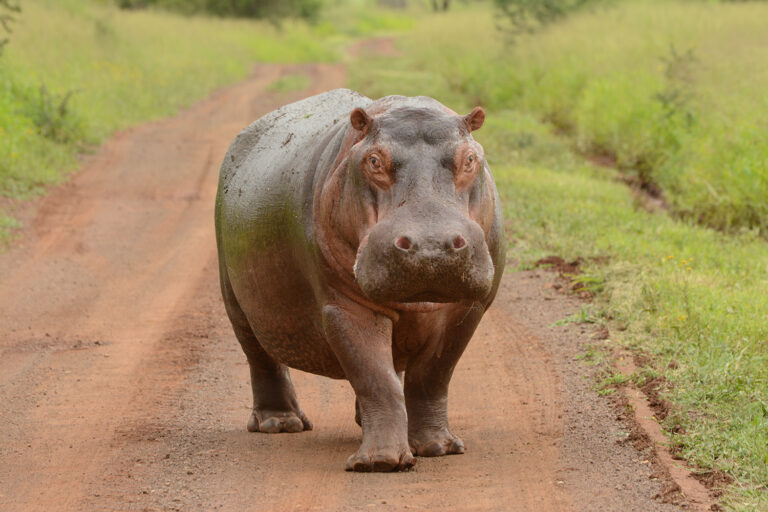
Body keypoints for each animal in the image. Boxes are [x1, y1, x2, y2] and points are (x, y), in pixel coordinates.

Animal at [214, 89, 505, 472]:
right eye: (374, 160)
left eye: (470, 158)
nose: (431, 245)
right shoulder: (345, 306)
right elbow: (374, 377)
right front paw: (380, 461)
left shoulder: (468, 307)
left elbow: (432, 376)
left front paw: (438, 447)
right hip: (236, 301)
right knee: (261, 357)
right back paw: (279, 423)